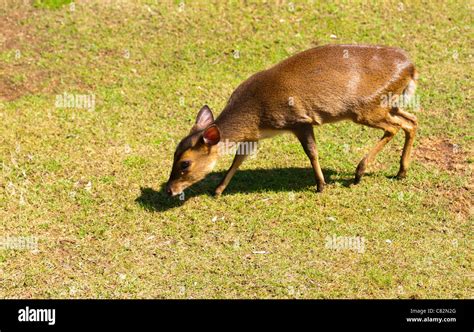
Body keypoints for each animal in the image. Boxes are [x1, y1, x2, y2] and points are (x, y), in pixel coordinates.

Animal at [167, 42, 418, 196]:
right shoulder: (254, 136)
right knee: (411, 121)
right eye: (174, 154)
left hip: (365, 108)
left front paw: (321, 185)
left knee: (394, 128)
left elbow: (312, 152)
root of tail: (411, 67)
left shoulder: (299, 120)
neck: (255, 115)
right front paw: (218, 190)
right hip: (390, 104)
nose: (169, 189)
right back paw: (401, 172)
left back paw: (359, 173)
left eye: (185, 163)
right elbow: (238, 158)